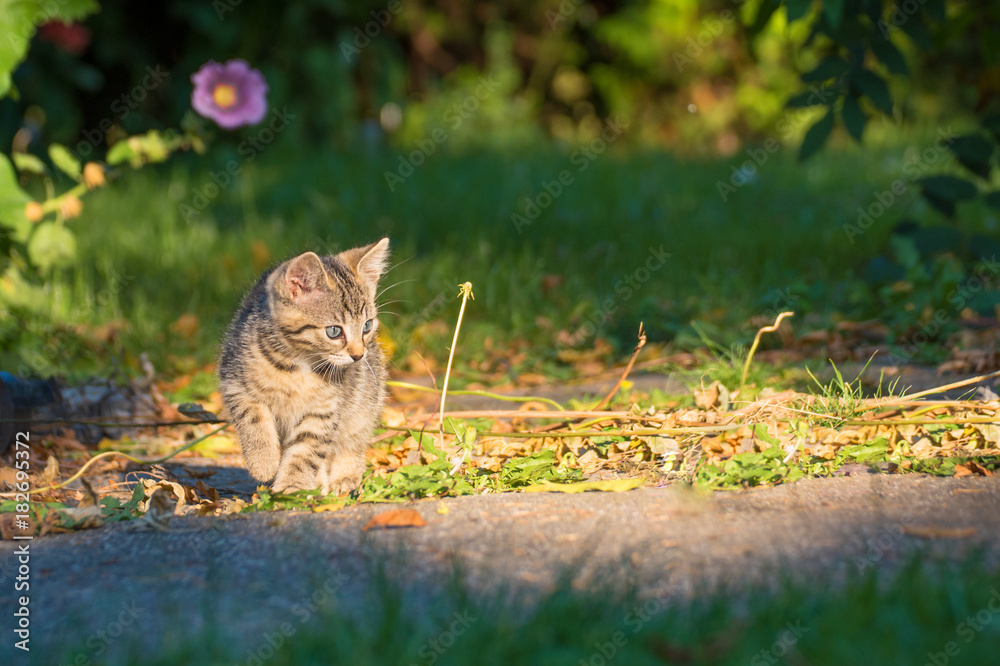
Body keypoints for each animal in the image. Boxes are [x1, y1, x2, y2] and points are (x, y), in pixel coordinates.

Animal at [220, 239, 390, 492]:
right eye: (334, 331)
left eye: (367, 326)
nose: (359, 355)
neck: (296, 365)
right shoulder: (234, 382)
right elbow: (252, 418)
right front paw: (263, 462)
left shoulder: (325, 410)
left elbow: (306, 451)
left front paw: (293, 487)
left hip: (365, 403)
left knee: (352, 440)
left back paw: (343, 477)